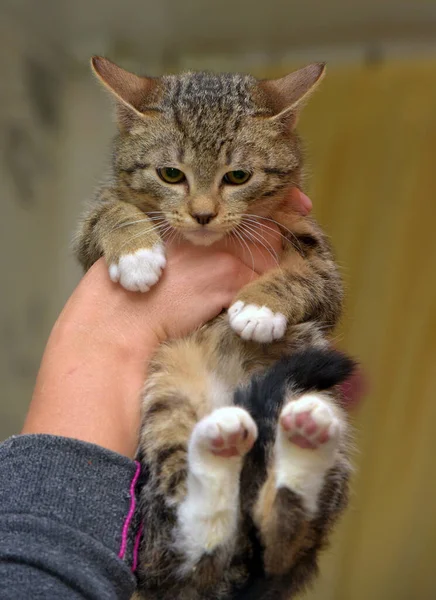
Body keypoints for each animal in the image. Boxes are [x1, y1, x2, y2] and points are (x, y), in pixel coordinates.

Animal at [74, 57, 354, 600]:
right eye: (171, 173)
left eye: (237, 176)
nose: (203, 214)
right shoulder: (86, 246)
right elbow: (107, 210)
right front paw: (136, 253)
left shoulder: (322, 268)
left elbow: (310, 277)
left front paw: (260, 307)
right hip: (166, 406)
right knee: (196, 532)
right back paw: (220, 452)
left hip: (305, 383)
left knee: (279, 536)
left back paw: (303, 445)